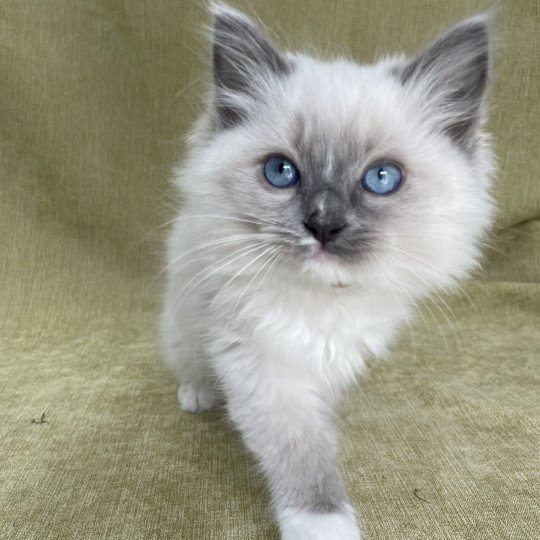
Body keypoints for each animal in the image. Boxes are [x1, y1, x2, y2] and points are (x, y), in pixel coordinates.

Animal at [160, 5, 494, 540]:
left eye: (381, 178)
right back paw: (199, 393)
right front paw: (324, 526)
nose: (323, 225)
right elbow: (306, 460)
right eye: (281, 172)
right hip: (183, 321)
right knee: (191, 363)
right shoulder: (265, 372)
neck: (326, 300)